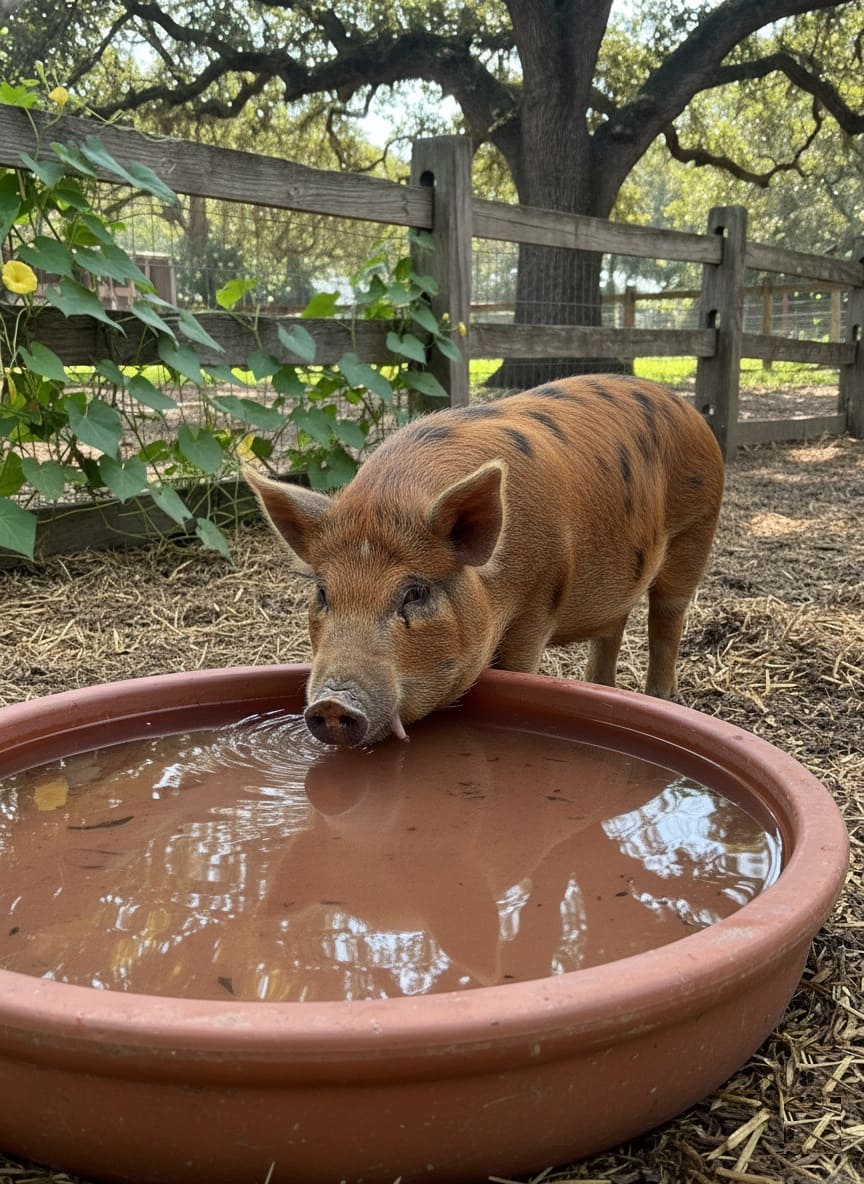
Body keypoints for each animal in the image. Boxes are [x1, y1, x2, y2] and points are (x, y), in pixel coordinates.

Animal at [244, 374, 724, 747]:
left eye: (414, 593)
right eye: (323, 593)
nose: (330, 703)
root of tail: (687, 408)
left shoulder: (538, 603)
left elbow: (515, 669)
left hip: (696, 530)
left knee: (668, 616)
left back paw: (660, 696)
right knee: (615, 624)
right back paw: (600, 686)